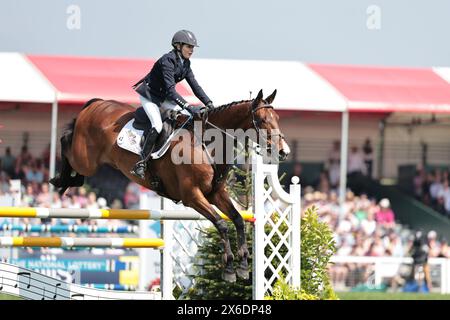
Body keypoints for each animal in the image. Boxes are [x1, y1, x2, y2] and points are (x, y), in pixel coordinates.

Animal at [48, 89, 288, 282]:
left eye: (277, 118)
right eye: (262, 120)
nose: (284, 152)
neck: (206, 144)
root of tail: (96, 104)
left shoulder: (215, 193)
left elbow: (237, 220)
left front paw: (244, 265)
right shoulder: (192, 197)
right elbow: (221, 223)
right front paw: (229, 268)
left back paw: (69, 181)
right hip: (86, 160)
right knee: (66, 141)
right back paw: (59, 180)